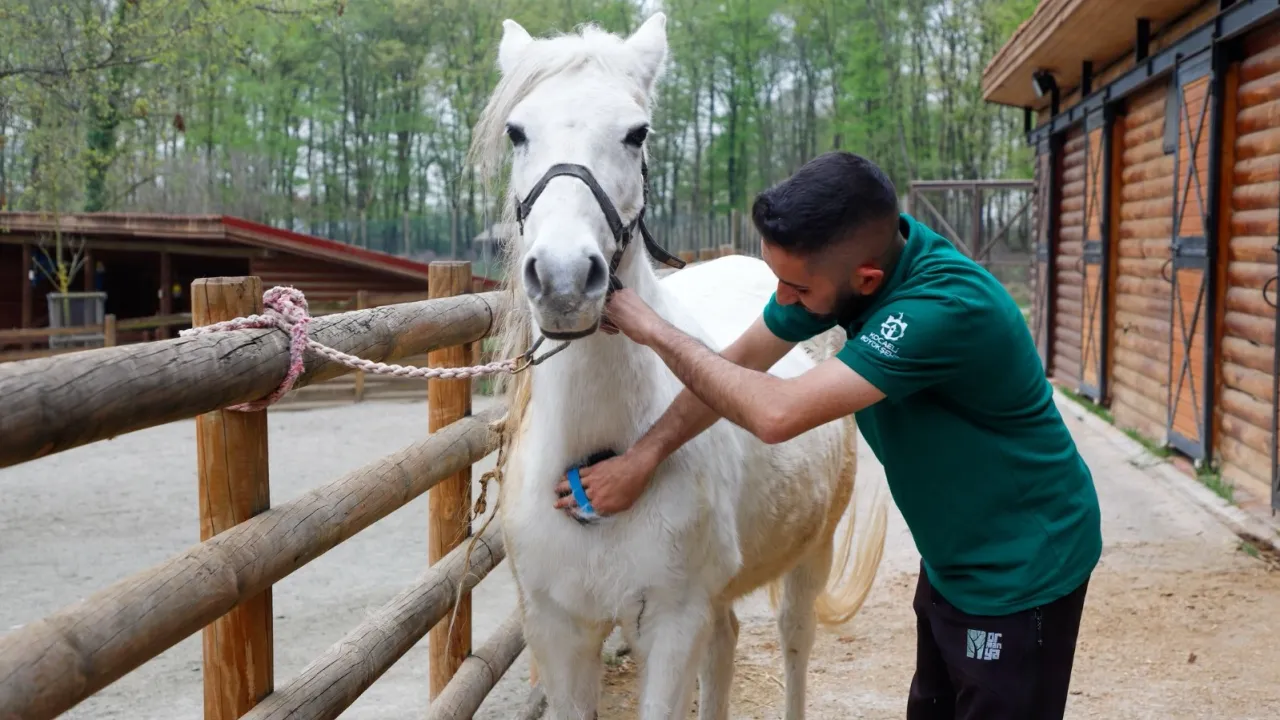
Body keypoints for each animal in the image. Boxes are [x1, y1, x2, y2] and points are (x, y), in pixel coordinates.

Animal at [468, 13, 888, 719]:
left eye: (636, 133)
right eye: (517, 131)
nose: (563, 280)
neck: (594, 458)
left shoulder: (670, 625)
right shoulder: (559, 630)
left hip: (813, 551)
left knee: (793, 640)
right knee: (726, 642)